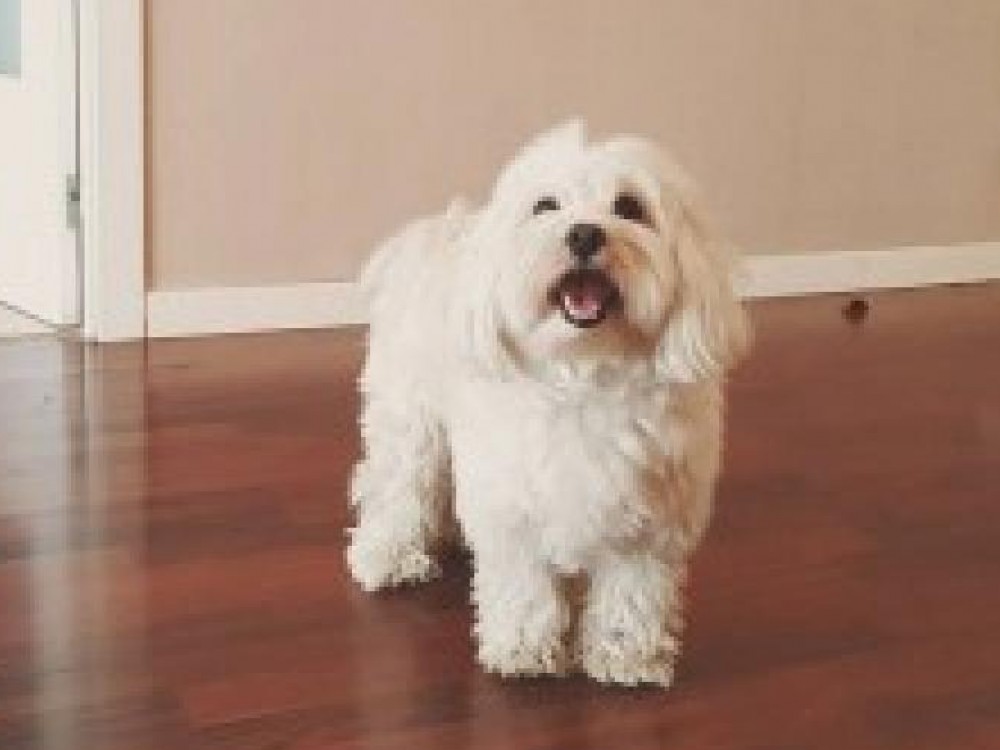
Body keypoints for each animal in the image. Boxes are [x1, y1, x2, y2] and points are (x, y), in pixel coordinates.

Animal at [346, 122, 748, 687]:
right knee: (397, 484)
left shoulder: (652, 513)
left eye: (630, 207)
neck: (583, 372)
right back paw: (388, 554)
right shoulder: (512, 503)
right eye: (545, 205)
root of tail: (436, 233)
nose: (583, 234)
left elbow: (633, 588)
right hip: (410, 419)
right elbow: (523, 580)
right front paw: (524, 648)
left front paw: (624, 653)